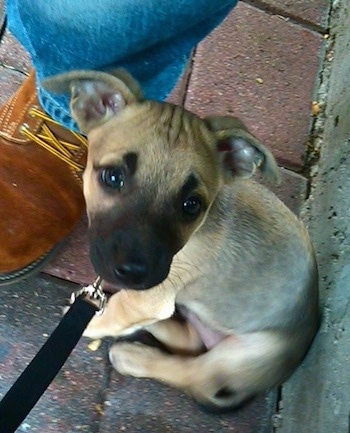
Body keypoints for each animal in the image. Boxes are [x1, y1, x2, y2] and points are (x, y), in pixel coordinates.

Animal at [42, 70, 318, 408]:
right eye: (112, 177)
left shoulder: (149, 294)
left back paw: (133, 356)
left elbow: (115, 313)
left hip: (244, 354)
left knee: (195, 375)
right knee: (191, 340)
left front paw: (92, 324)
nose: (133, 272)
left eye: (191, 205)